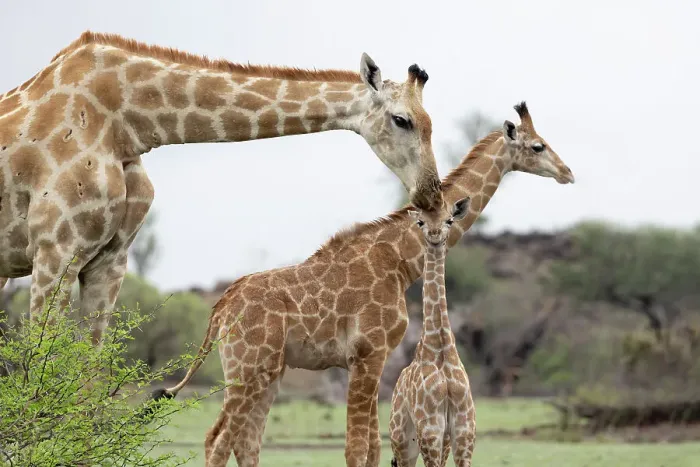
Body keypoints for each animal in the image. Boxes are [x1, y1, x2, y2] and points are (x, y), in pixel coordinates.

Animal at [0, 31, 441, 345]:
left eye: (431, 123)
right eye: (402, 120)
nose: (431, 194)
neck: (128, 124)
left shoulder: (110, 260)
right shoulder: (56, 251)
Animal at [389, 196, 475, 467]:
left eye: (449, 220)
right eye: (420, 222)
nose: (435, 235)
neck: (442, 349)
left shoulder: (463, 429)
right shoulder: (430, 429)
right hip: (402, 439)